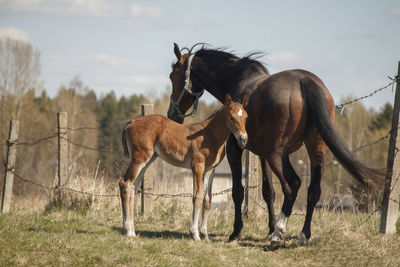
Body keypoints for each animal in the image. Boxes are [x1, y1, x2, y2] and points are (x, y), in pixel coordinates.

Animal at [120, 94, 248, 241]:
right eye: (231, 117)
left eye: (246, 116)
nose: (243, 138)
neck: (210, 135)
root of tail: (132, 122)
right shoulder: (197, 167)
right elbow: (197, 196)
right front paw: (195, 234)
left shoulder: (210, 169)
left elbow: (207, 199)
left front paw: (205, 234)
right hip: (139, 158)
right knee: (125, 184)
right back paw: (127, 230)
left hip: (147, 161)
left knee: (132, 188)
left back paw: (132, 232)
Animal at [167, 43, 382, 246]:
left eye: (172, 75)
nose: (172, 114)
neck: (237, 80)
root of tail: (305, 82)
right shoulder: (261, 154)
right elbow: (268, 191)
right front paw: (269, 226)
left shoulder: (235, 148)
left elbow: (238, 191)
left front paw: (237, 232)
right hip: (314, 150)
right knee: (313, 189)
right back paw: (303, 235)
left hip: (277, 155)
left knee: (292, 184)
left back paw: (279, 233)